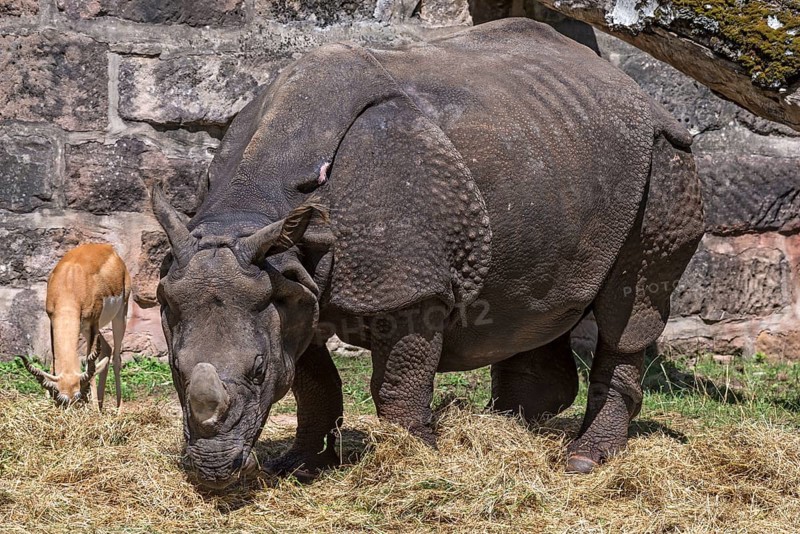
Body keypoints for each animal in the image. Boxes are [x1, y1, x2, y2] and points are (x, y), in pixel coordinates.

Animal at [152, 18, 704, 489]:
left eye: (257, 372)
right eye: (175, 370)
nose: (213, 472)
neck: (255, 206)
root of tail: (636, 89)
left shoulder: (410, 288)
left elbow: (396, 386)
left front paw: (414, 464)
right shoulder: (291, 280)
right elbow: (311, 380)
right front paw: (299, 468)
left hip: (666, 158)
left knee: (629, 306)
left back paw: (582, 461)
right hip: (550, 148)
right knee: (535, 295)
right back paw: (509, 427)